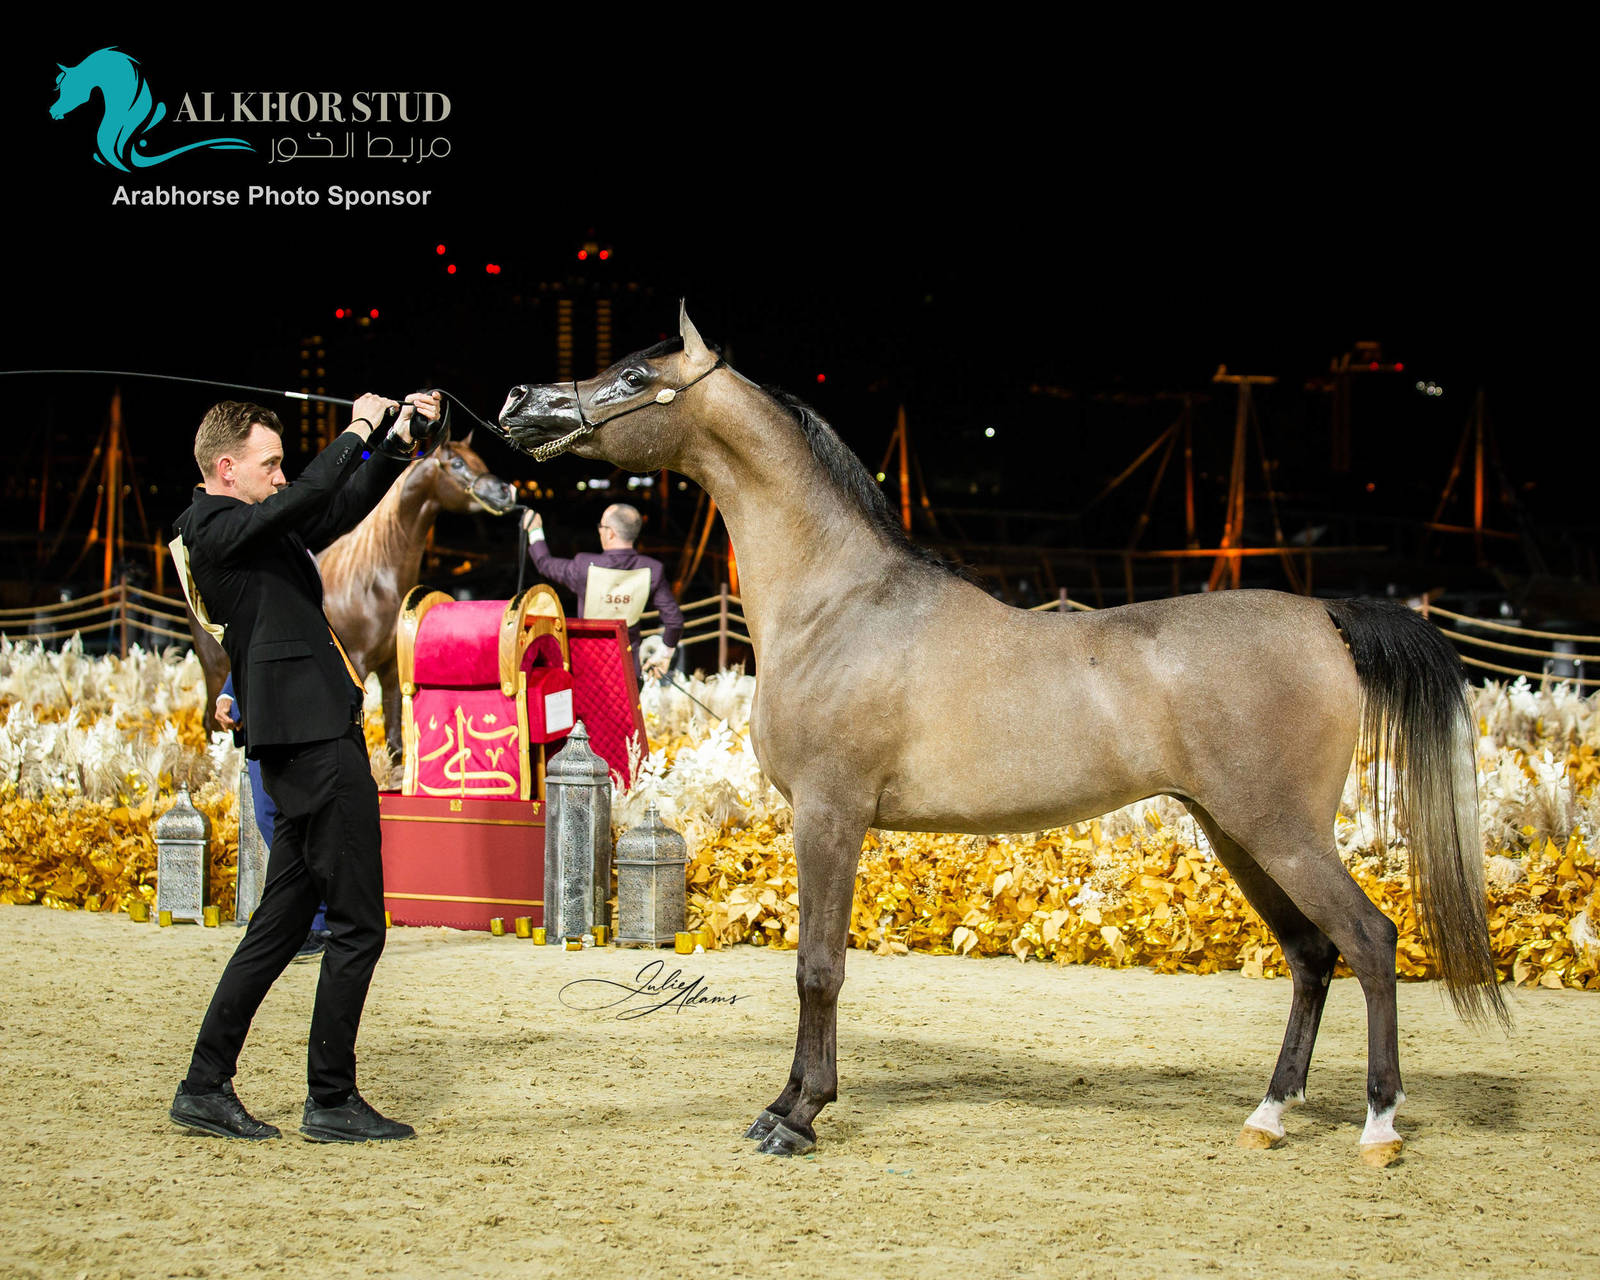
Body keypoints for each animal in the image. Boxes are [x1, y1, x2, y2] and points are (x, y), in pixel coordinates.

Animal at [189, 435, 519, 759]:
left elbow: (395, 745)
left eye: (480, 461)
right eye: (458, 463)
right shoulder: (357, 665)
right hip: (215, 673)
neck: (375, 576)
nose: (506, 491)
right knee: (211, 726)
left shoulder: (391, 669)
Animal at [494, 304, 1506, 1169]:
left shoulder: (830, 815)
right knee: (1310, 955)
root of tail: (1326, 617)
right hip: (1236, 830)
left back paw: (1378, 1125)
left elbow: (818, 967)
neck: (841, 605)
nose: (518, 403)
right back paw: (1268, 1113)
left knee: (1369, 940)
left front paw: (797, 1116)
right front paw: (787, 1105)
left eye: (635, 375)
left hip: (1280, 829)